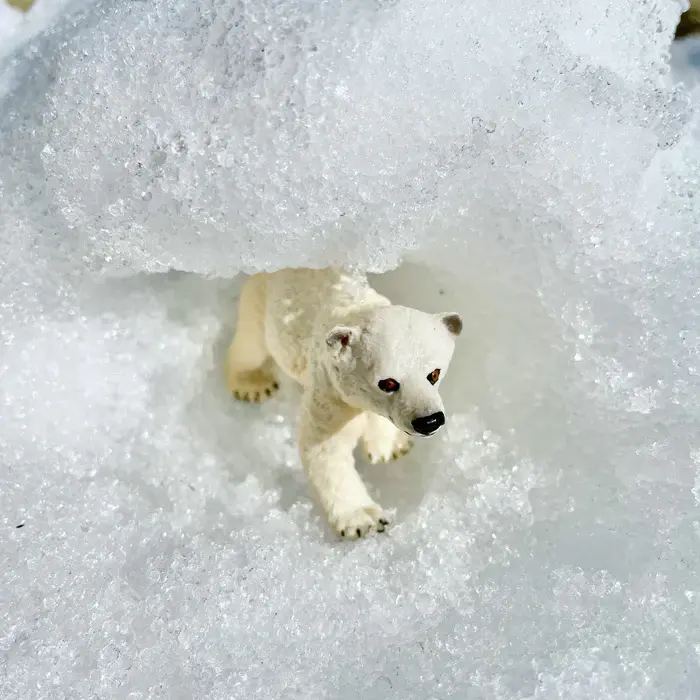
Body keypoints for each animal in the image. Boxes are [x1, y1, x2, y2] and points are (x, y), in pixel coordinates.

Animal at [225, 267, 462, 539]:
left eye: (434, 373)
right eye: (388, 382)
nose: (429, 420)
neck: (355, 310)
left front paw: (390, 447)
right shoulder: (330, 388)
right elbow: (325, 448)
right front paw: (364, 520)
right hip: (259, 299)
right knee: (251, 343)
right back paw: (253, 385)